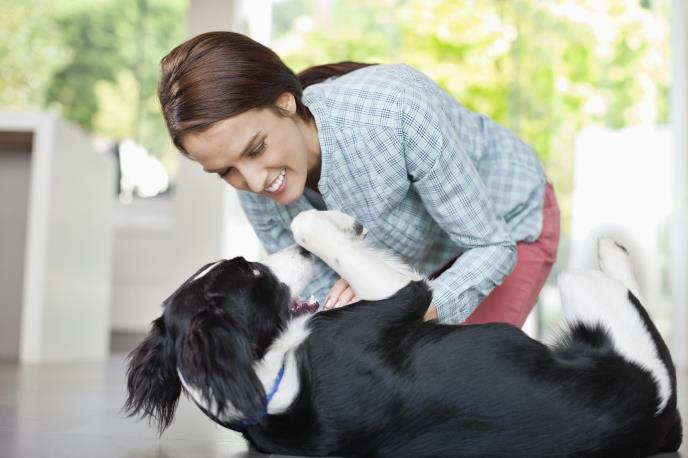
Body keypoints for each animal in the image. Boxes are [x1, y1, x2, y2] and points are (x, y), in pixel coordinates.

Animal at [125, 210, 682, 457]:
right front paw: (333, 224)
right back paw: (614, 244)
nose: (299, 257)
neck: (272, 383)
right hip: (596, 305)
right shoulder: (405, 295)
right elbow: (315, 225)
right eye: (252, 272)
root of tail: (664, 422)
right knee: (622, 290)